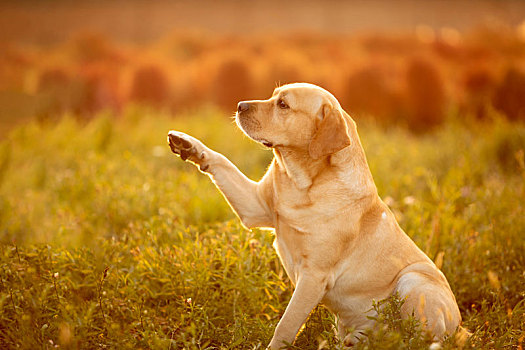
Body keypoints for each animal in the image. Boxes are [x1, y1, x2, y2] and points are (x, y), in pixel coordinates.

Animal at [167, 83, 458, 348]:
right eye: (274, 96)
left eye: (283, 104)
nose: (240, 105)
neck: (304, 183)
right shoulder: (255, 206)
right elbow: (221, 161)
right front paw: (189, 145)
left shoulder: (314, 276)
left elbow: (287, 324)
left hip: (414, 281)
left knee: (420, 338)